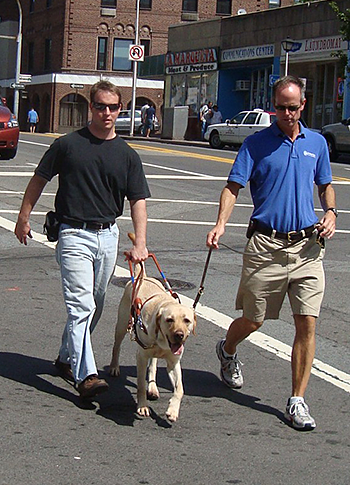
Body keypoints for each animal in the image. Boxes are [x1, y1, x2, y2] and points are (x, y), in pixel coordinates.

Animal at [109, 236, 197, 422]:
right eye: (169, 320)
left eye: (186, 320)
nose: (179, 335)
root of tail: (143, 277)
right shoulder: (141, 356)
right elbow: (140, 385)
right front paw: (142, 406)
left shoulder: (173, 361)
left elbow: (180, 389)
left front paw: (172, 410)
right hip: (121, 325)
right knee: (116, 346)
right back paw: (114, 367)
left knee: (154, 365)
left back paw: (153, 387)